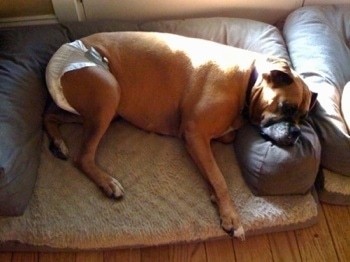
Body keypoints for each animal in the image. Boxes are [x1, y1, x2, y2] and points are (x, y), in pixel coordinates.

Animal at [44, 31, 318, 241]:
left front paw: (216, 198)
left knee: (50, 115)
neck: (248, 79)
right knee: (82, 157)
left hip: (104, 111)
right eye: (287, 108)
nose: (295, 133)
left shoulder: (202, 138)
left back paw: (58, 143)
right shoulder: (194, 133)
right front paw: (231, 215)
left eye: (304, 117)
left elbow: (216, 160)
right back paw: (108, 183)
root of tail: (55, 62)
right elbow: (219, 177)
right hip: (109, 94)